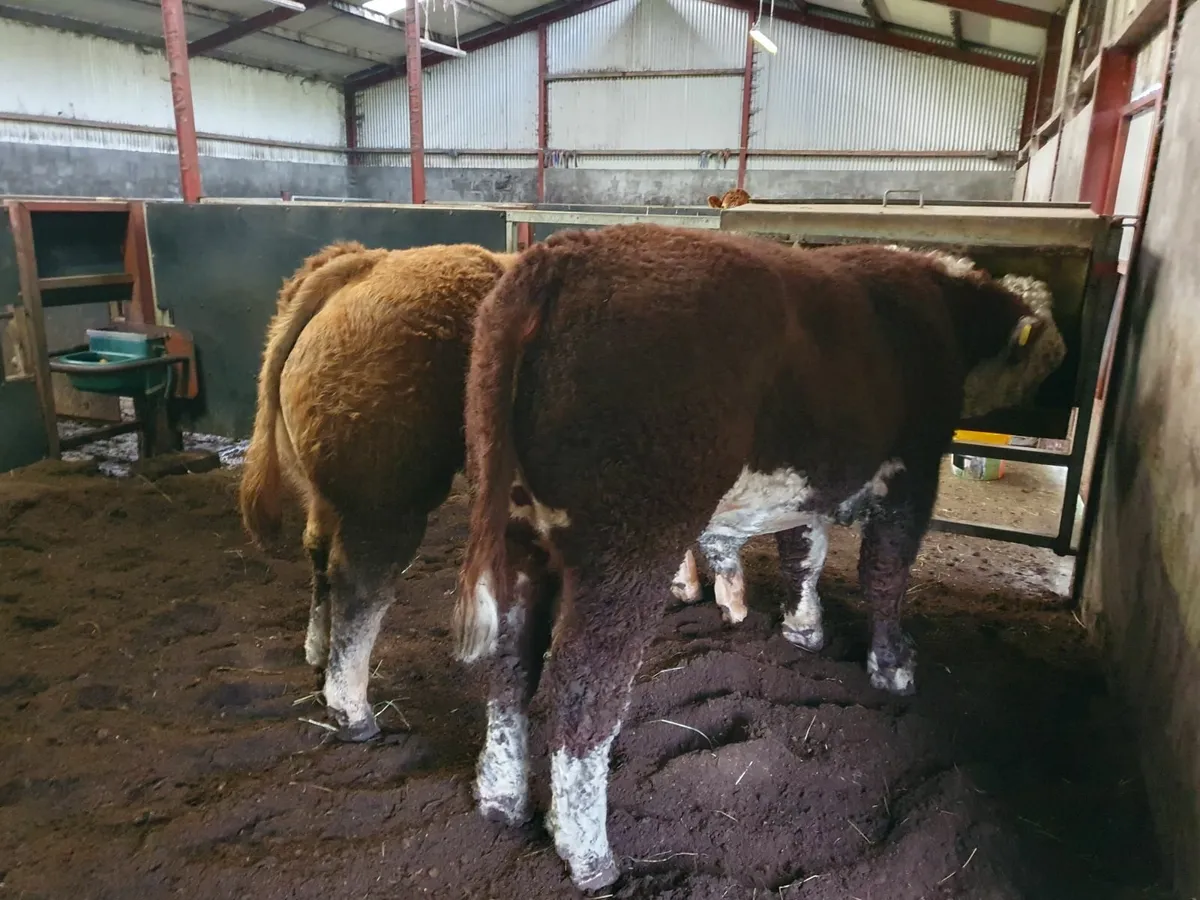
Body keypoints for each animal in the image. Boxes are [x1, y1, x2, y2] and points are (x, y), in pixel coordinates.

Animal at [239, 240, 515, 742]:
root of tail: (368, 264)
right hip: (386, 496)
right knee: (360, 582)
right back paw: (352, 712)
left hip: (330, 490)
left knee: (319, 553)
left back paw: (317, 656)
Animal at [453, 223, 1066, 889]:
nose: (1060, 364)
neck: (941, 307)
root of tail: (560, 256)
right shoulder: (912, 468)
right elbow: (884, 572)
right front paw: (893, 666)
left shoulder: (814, 479)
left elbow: (804, 551)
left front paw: (804, 628)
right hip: (627, 542)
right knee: (583, 690)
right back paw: (588, 854)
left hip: (516, 529)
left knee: (511, 666)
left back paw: (501, 798)